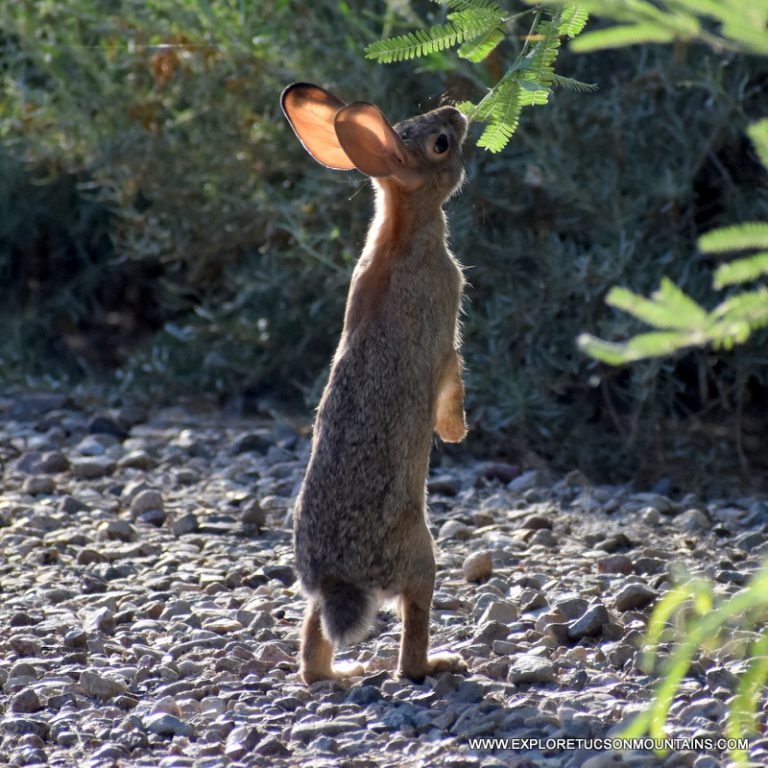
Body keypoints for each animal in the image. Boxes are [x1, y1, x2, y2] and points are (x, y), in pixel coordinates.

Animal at [284, 82, 468, 684]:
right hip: (420, 555)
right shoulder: (445, 342)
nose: (457, 113)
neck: (403, 232)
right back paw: (440, 663)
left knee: (312, 652)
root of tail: (342, 578)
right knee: (411, 639)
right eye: (440, 143)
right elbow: (453, 380)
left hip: (320, 601)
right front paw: (455, 433)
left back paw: (341, 672)